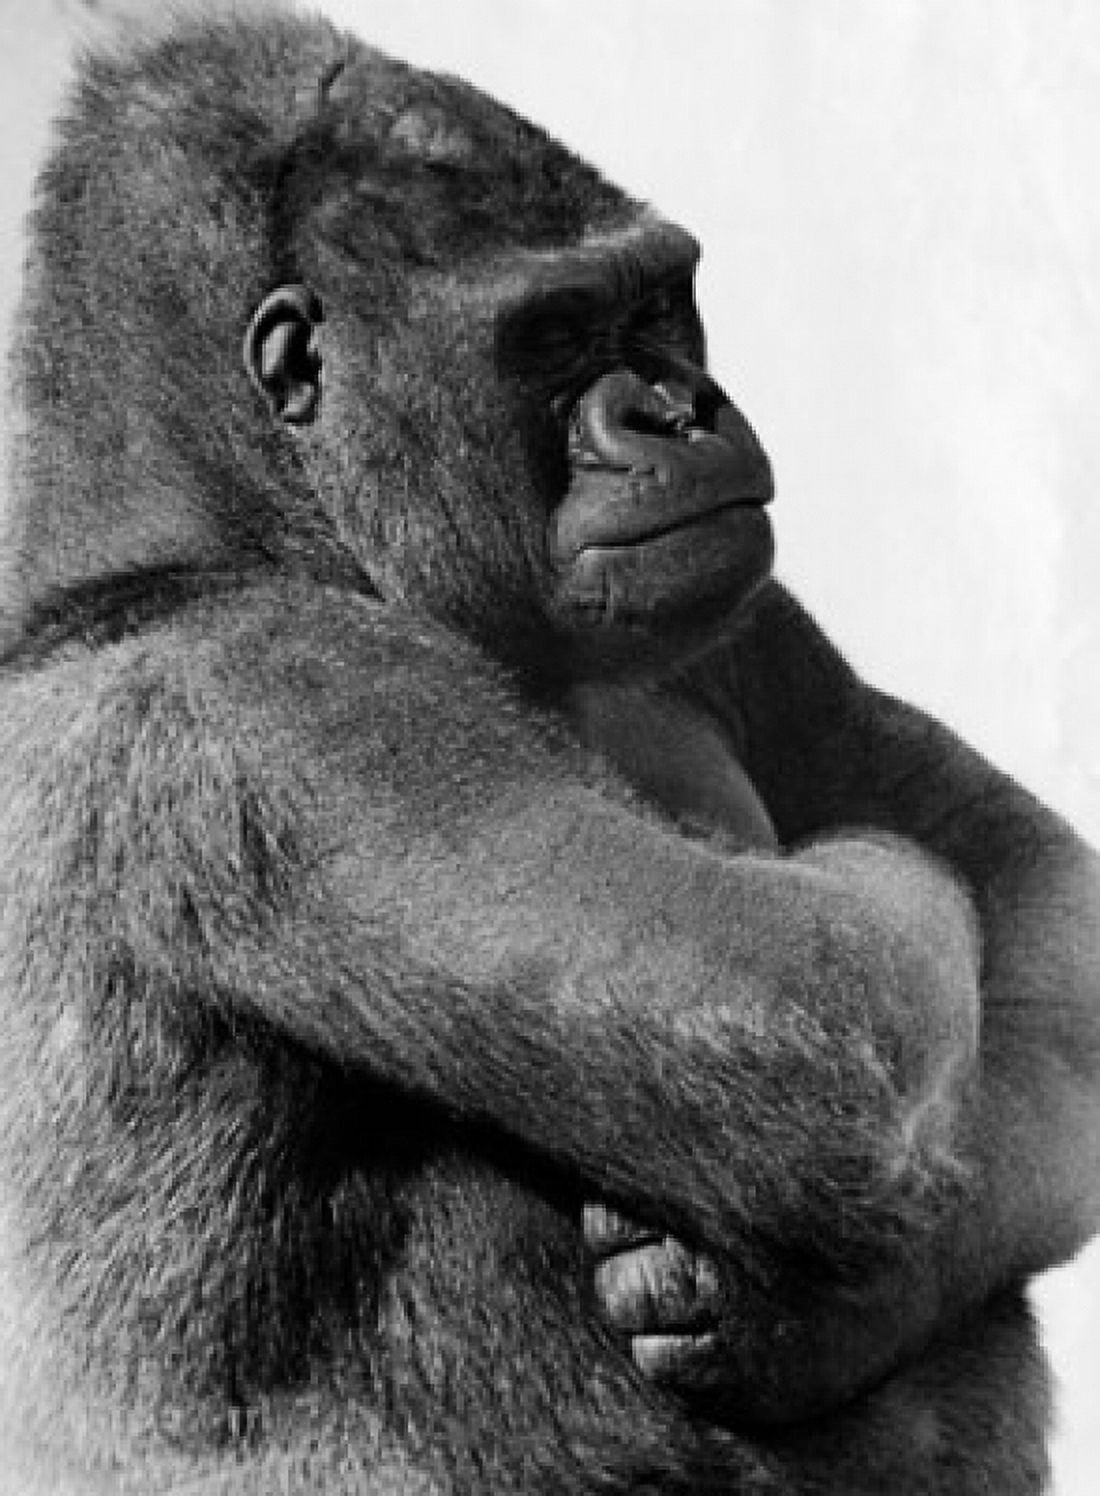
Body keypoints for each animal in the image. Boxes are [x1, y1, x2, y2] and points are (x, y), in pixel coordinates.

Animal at [0, 10, 1096, 1494]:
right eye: (554, 333)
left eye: (657, 304)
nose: (683, 408)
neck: (188, 527)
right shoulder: (283, 690)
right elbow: (833, 1011)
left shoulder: (745, 617)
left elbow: (1037, 894)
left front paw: (835, 1313)